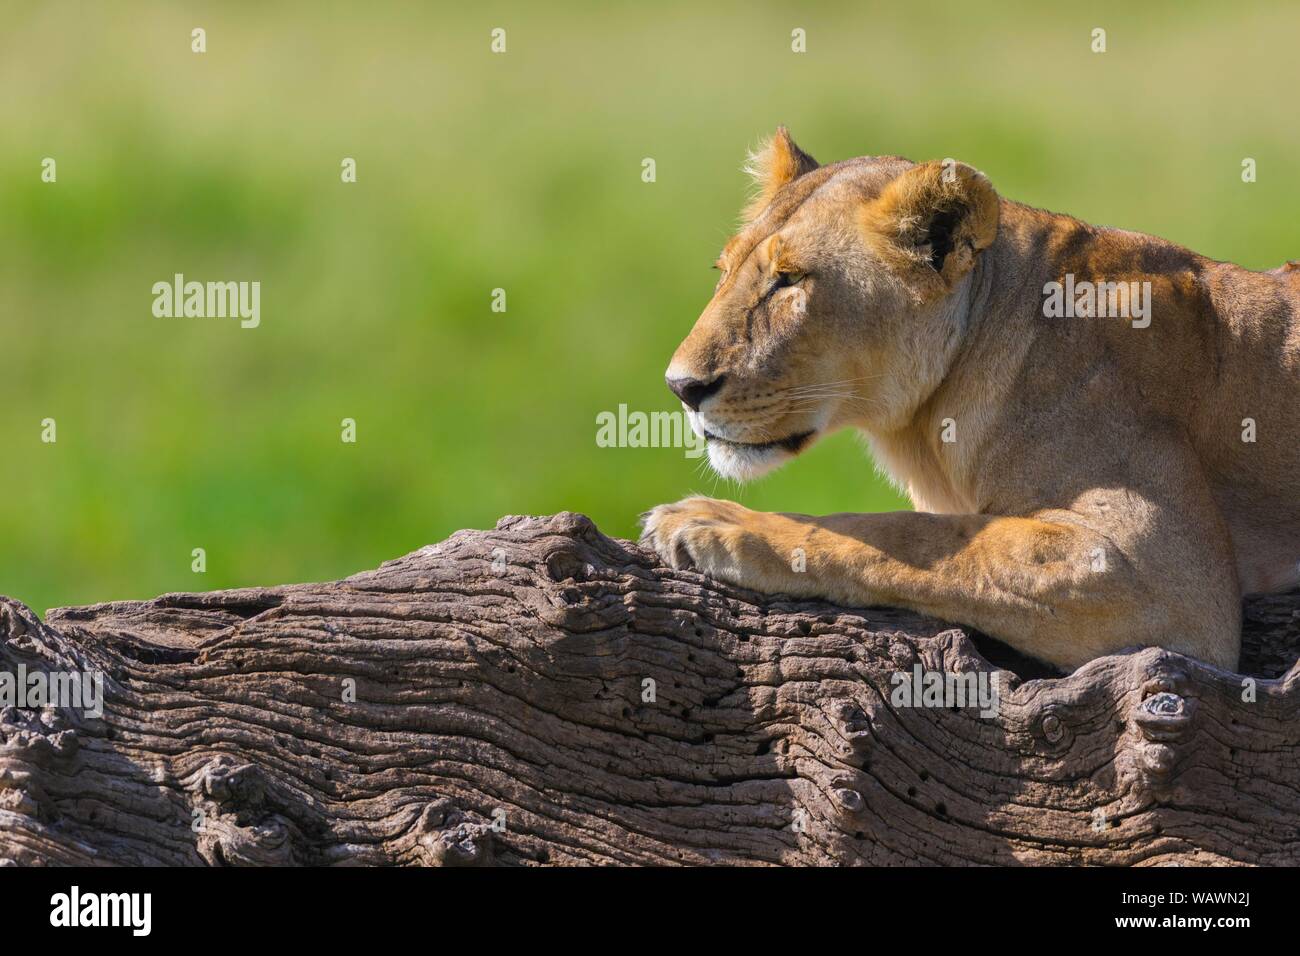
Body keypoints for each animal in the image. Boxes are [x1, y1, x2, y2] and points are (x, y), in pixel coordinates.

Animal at [641, 128, 1300, 672]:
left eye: (791, 279)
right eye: (723, 271)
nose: (680, 387)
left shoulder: (1168, 576)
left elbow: (914, 536)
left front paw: (717, 522)